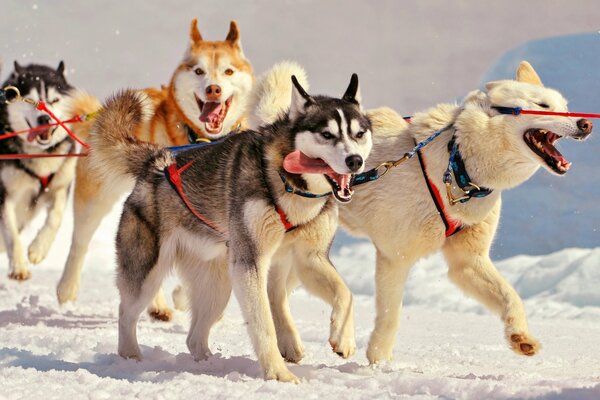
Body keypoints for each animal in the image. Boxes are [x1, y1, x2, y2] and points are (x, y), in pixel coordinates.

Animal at [0, 61, 95, 282]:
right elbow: (11, 234)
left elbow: (55, 218)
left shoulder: (60, 185)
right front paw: (18, 266)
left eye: (54, 100)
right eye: (32, 101)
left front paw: (39, 248)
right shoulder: (5, 194)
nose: (44, 118)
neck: (40, 155)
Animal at [55, 19, 254, 322]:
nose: (213, 89)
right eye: (199, 71)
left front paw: (185, 296)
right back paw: (70, 286)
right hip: (100, 199)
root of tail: (98, 113)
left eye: (228, 71)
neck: (201, 138)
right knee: (82, 242)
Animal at [87, 71, 372, 382]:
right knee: (126, 313)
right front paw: (278, 373)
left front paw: (343, 339)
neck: (288, 183)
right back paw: (131, 357)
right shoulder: (250, 261)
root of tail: (157, 161)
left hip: (218, 285)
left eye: (359, 134)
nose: (354, 161)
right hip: (148, 274)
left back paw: (208, 365)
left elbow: (345, 293)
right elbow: (263, 323)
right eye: (327, 134)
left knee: (194, 337)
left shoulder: (309, 258)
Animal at [252, 61, 592, 362]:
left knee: (276, 292)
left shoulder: (468, 261)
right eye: (542, 105)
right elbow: (390, 314)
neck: (458, 164)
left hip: (302, 255)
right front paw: (379, 361)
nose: (586, 123)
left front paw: (520, 336)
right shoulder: (395, 257)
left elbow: (511, 296)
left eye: (565, 106)